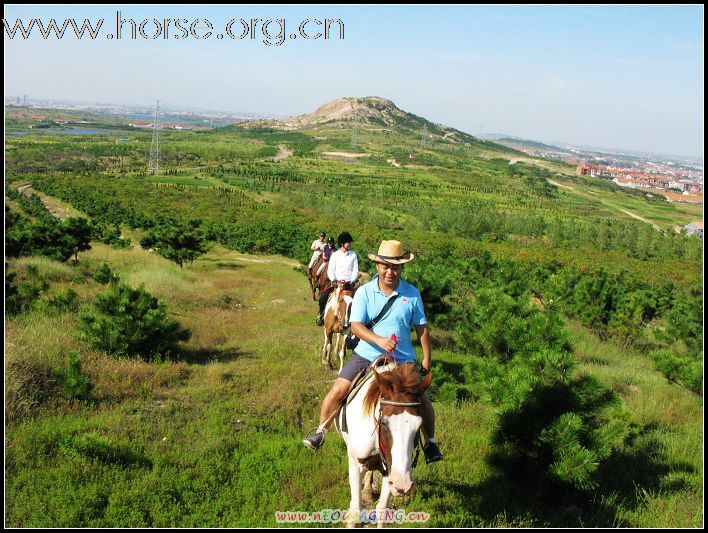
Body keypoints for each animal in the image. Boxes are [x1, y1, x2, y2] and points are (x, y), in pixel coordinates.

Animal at [336, 364, 434, 524]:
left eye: (419, 425)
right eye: (384, 423)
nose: (403, 484)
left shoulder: (391, 469)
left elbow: (382, 509)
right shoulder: (355, 465)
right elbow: (355, 510)